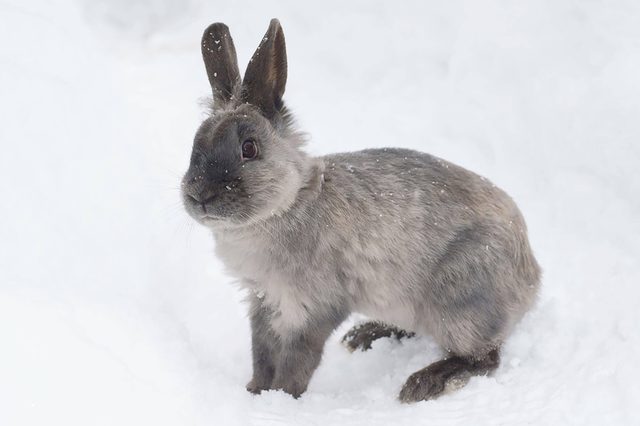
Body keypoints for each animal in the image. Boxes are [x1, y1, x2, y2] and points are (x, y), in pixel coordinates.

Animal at [181, 19, 541, 403]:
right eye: (195, 144)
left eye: (249, 148)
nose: (200, 195)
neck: (287, 204)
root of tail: (532, 278)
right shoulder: (263, 302)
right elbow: (261, 352)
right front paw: (256, 391)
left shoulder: (312, 307)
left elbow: (297, 359)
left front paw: (284, 398)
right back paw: (363, 336)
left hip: (459, 301)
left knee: (484, 358)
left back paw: (422, 384)